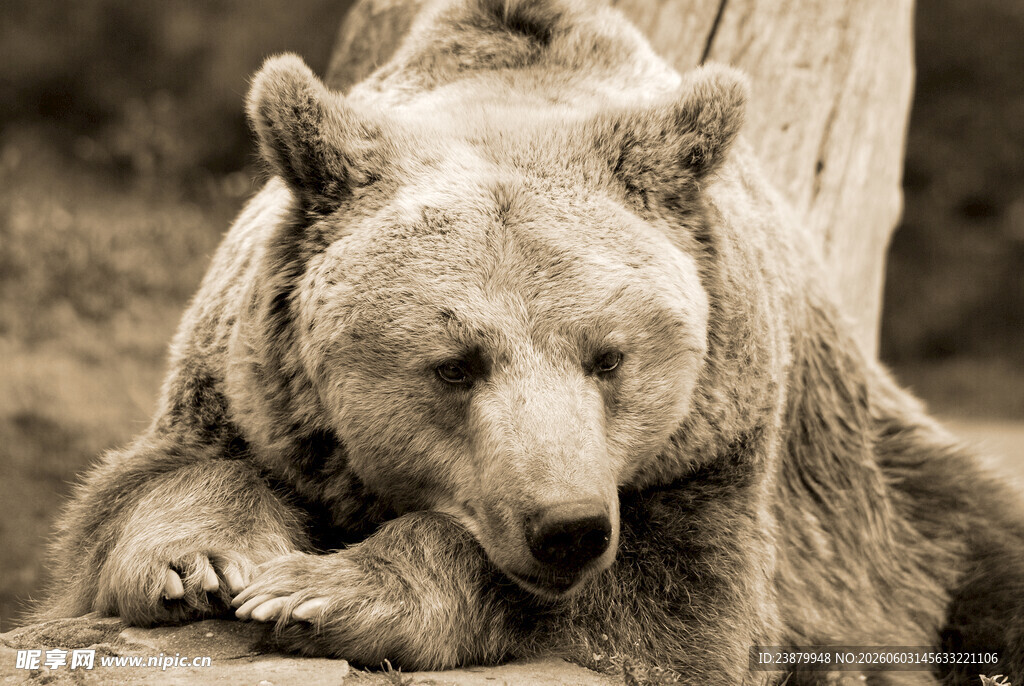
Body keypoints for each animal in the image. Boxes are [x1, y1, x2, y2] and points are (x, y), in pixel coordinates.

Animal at [34, 0, 1024, 683]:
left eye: (610, 355)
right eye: (454, 365)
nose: (568, 527)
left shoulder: (719, 448)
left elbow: (663, 608)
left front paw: (327, 590)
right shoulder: (243, 387)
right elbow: (146, 489)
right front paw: (202, 562)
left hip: (889, 499)